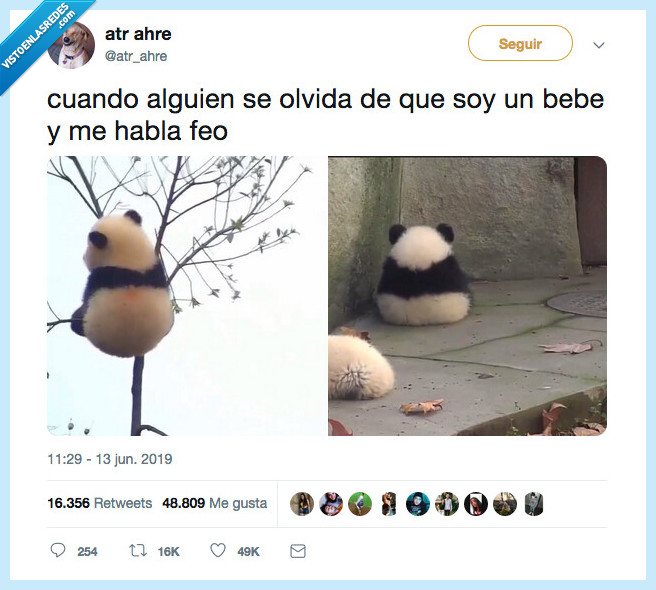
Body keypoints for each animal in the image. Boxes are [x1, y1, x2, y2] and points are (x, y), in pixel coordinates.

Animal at [71, 210, 174, 358]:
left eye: (89, 246)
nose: (83, 257)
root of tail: (134, 349)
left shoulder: (101, 276)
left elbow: (86, 296)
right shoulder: (156, 269)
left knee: (76, 323)